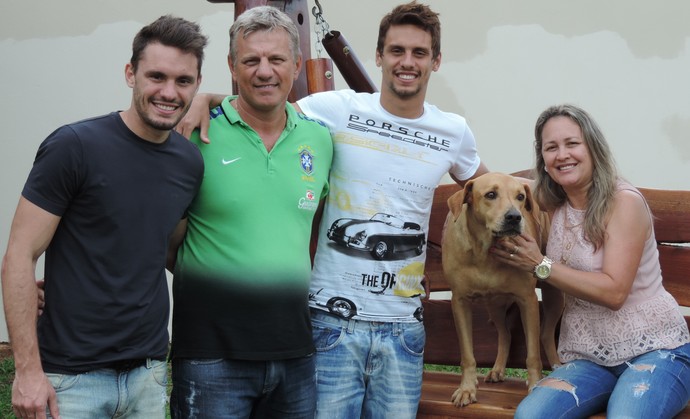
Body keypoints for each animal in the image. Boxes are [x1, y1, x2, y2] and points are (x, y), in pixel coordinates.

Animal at [440, 172, 560, 408]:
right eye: (490, 195)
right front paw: (467, 388)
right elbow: (467, 354)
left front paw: (535, 383)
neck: (486, 253)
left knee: (544, 334)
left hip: (555, 295)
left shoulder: (527, 299)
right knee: (505, 334)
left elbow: (533, 354)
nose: (514, 217)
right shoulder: (460, 302)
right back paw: (497, 369)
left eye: (521, 197)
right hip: (494, 304)